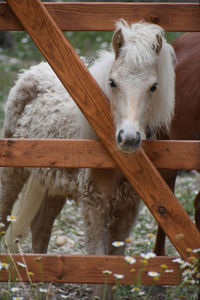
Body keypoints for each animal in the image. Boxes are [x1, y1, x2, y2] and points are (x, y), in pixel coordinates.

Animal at [0, 19, 175, 298]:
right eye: (112, 82)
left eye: (154, 86)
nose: (128, 138)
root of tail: (34, 69)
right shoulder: (95, 205)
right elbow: (99, 263)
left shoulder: (128, 210)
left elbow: (116, 265)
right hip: (14, 173)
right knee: (5, 216)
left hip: (53, 186)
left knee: (41, 229)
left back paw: (43, 286)